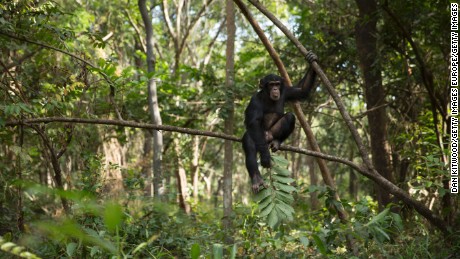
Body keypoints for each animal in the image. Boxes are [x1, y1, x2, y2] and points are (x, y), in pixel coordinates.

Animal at [243, 51, 318, 193]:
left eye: (277, 84)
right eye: (271, 84)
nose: (275, 89)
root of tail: (267, 137)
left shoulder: (287, 91)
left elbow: (301, 90)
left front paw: (311, 59)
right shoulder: (255, 100)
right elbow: (254, 122)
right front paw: (265, 157)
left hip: (271, 133)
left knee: (290, 117)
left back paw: (277, 142)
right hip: (260, 137)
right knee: (249, 140)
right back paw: (257, 178)